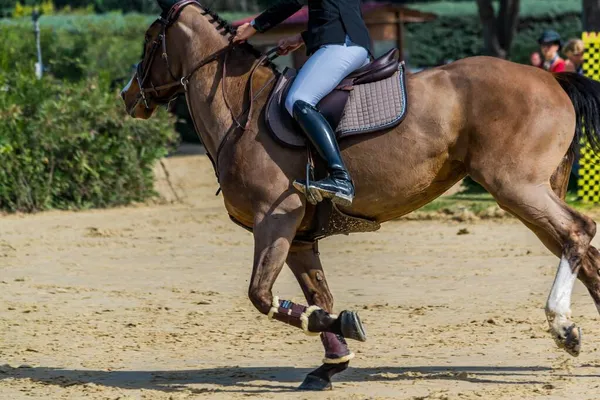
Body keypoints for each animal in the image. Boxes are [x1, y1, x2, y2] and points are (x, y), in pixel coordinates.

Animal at [122, 0, 600, 390]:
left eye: (149, 40)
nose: (128, 97)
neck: (243, 109)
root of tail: (552, 80)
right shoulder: (299, 235)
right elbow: (319, 296)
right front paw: (331, 362)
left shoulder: (276, 218)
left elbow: (261, 295)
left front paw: (343, 329)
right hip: (532, 197)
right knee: (585, 254)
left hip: (517, 188)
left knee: (579, 230)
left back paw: (561, 326)